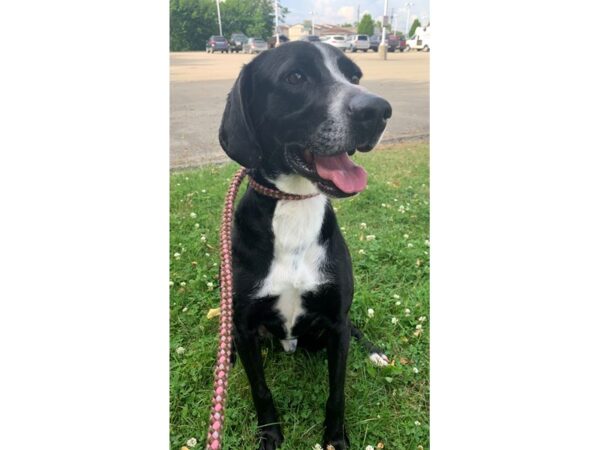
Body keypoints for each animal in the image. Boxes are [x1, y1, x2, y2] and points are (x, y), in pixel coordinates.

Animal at [218, 40, 392, 448]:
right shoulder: (246, 326)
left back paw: (375, 353)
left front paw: (335, 438)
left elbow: (337, 391)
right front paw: (269, 433)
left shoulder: (337, 322)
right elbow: (260, 389)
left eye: (354, 75)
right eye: (295, 77)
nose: (378, 110)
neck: (294, 203)